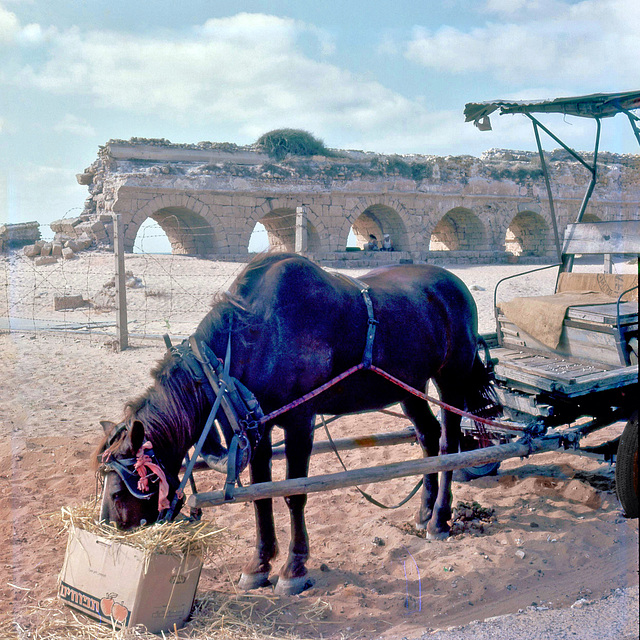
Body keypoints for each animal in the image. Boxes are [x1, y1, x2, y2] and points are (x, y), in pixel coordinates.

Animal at [95, 250, 498, 596]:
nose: (112, 527)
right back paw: (424, 511)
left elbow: (294, 494)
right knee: (428, 437)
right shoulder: (258, 428)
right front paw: (259, 565)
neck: (253, 336)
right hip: (408, 386)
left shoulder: (299, 421)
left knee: (448, 444)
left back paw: (440, 520)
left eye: (118, 490)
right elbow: (260, 494)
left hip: (451, 380)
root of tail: (455, 284)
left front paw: (294, 568)